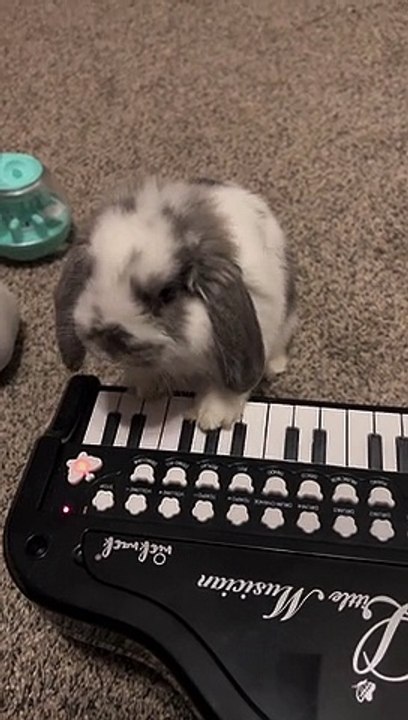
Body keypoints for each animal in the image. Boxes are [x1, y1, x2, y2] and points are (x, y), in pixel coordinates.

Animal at [54, 176, 296, 431]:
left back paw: (274, 367)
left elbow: (227, 385)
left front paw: (212, 418)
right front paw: (143, 390)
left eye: (167, 293)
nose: (107, 340)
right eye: (89, 275)